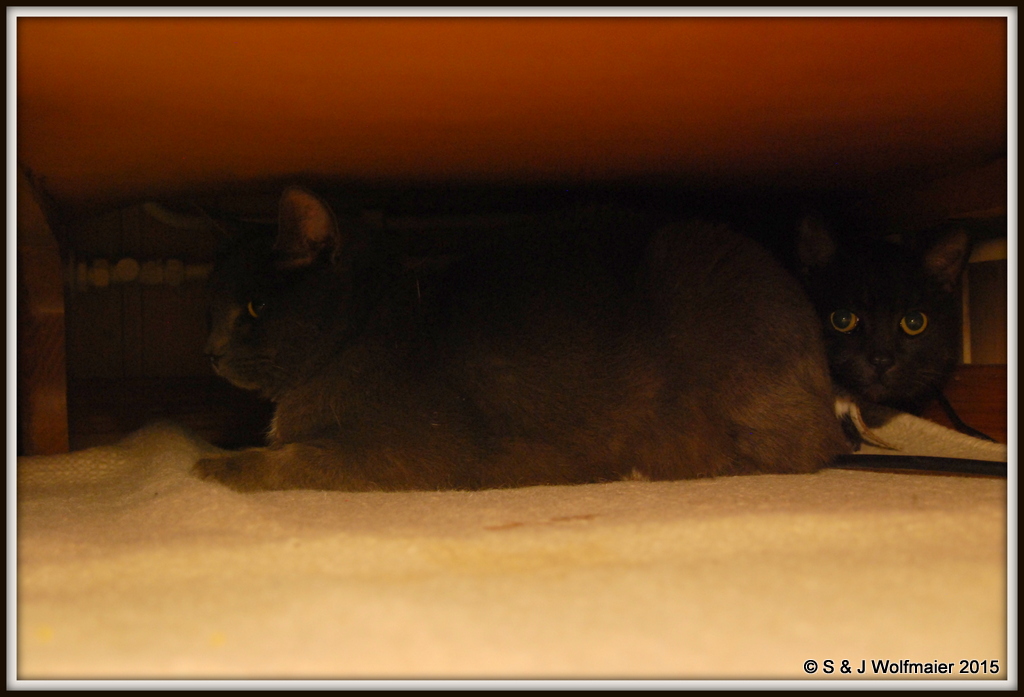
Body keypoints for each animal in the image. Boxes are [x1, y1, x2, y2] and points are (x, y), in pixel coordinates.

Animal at [190, 185, 839, 489]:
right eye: (211, 310)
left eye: (254, 308)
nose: (211, 352)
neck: (361, 329)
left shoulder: (389, 454)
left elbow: (290, 461)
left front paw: (213, 467)